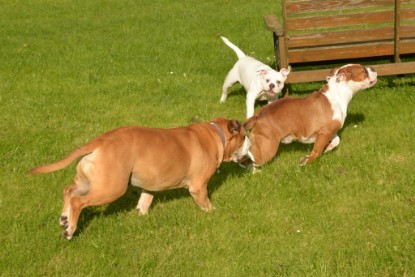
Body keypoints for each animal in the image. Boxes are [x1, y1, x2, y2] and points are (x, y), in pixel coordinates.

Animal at [30, 116, 247, 237]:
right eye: (244, 137)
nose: (249, 148)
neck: (216, 134)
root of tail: (100, 141)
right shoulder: (199, 187)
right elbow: (207, 204)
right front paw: (213, 213)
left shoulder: (150, 185)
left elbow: (145, 200)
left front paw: (142, 215)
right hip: (111, 188)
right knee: (77, 201)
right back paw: (70, 230)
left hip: (89, 182)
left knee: (69, 191)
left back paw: (64, 219)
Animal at [242, 64, 378, 167]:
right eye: (364, 71)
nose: (373, 68)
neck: (338, 93)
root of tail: (257, 116)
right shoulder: (325, 132)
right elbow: (316, 151)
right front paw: (307, 162)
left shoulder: (328, 131)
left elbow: (336, 141)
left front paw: (327, 149)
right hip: (267, 148)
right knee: (251, 159)